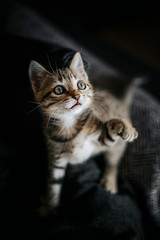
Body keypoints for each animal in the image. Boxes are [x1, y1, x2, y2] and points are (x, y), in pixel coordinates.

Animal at [28, 51, 138, 216]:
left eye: (81, 85)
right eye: (58, 90)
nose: (77, 96)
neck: (69, 123)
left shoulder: (100, 138)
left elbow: (110, 132)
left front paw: (123, 125)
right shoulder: (56, 158)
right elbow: (54, 183)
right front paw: (49, 206)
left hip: (117, 148)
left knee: (113, 162)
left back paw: (109, 181)